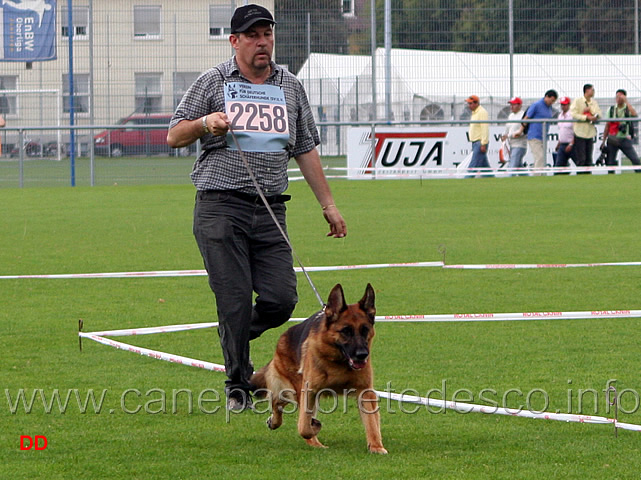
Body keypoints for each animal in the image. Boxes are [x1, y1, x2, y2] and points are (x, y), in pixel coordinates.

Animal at [250, 284, 384, 456]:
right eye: (346, 331)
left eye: (365, 330)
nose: (362, 355)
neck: (338, 363)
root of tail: (282, 338)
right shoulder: (309, 391)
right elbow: (304, 427)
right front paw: (314, 429)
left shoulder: (365, 392)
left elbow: (372, 423)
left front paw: (376, 446)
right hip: (295, 388)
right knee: (278, 402)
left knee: (280, 403)